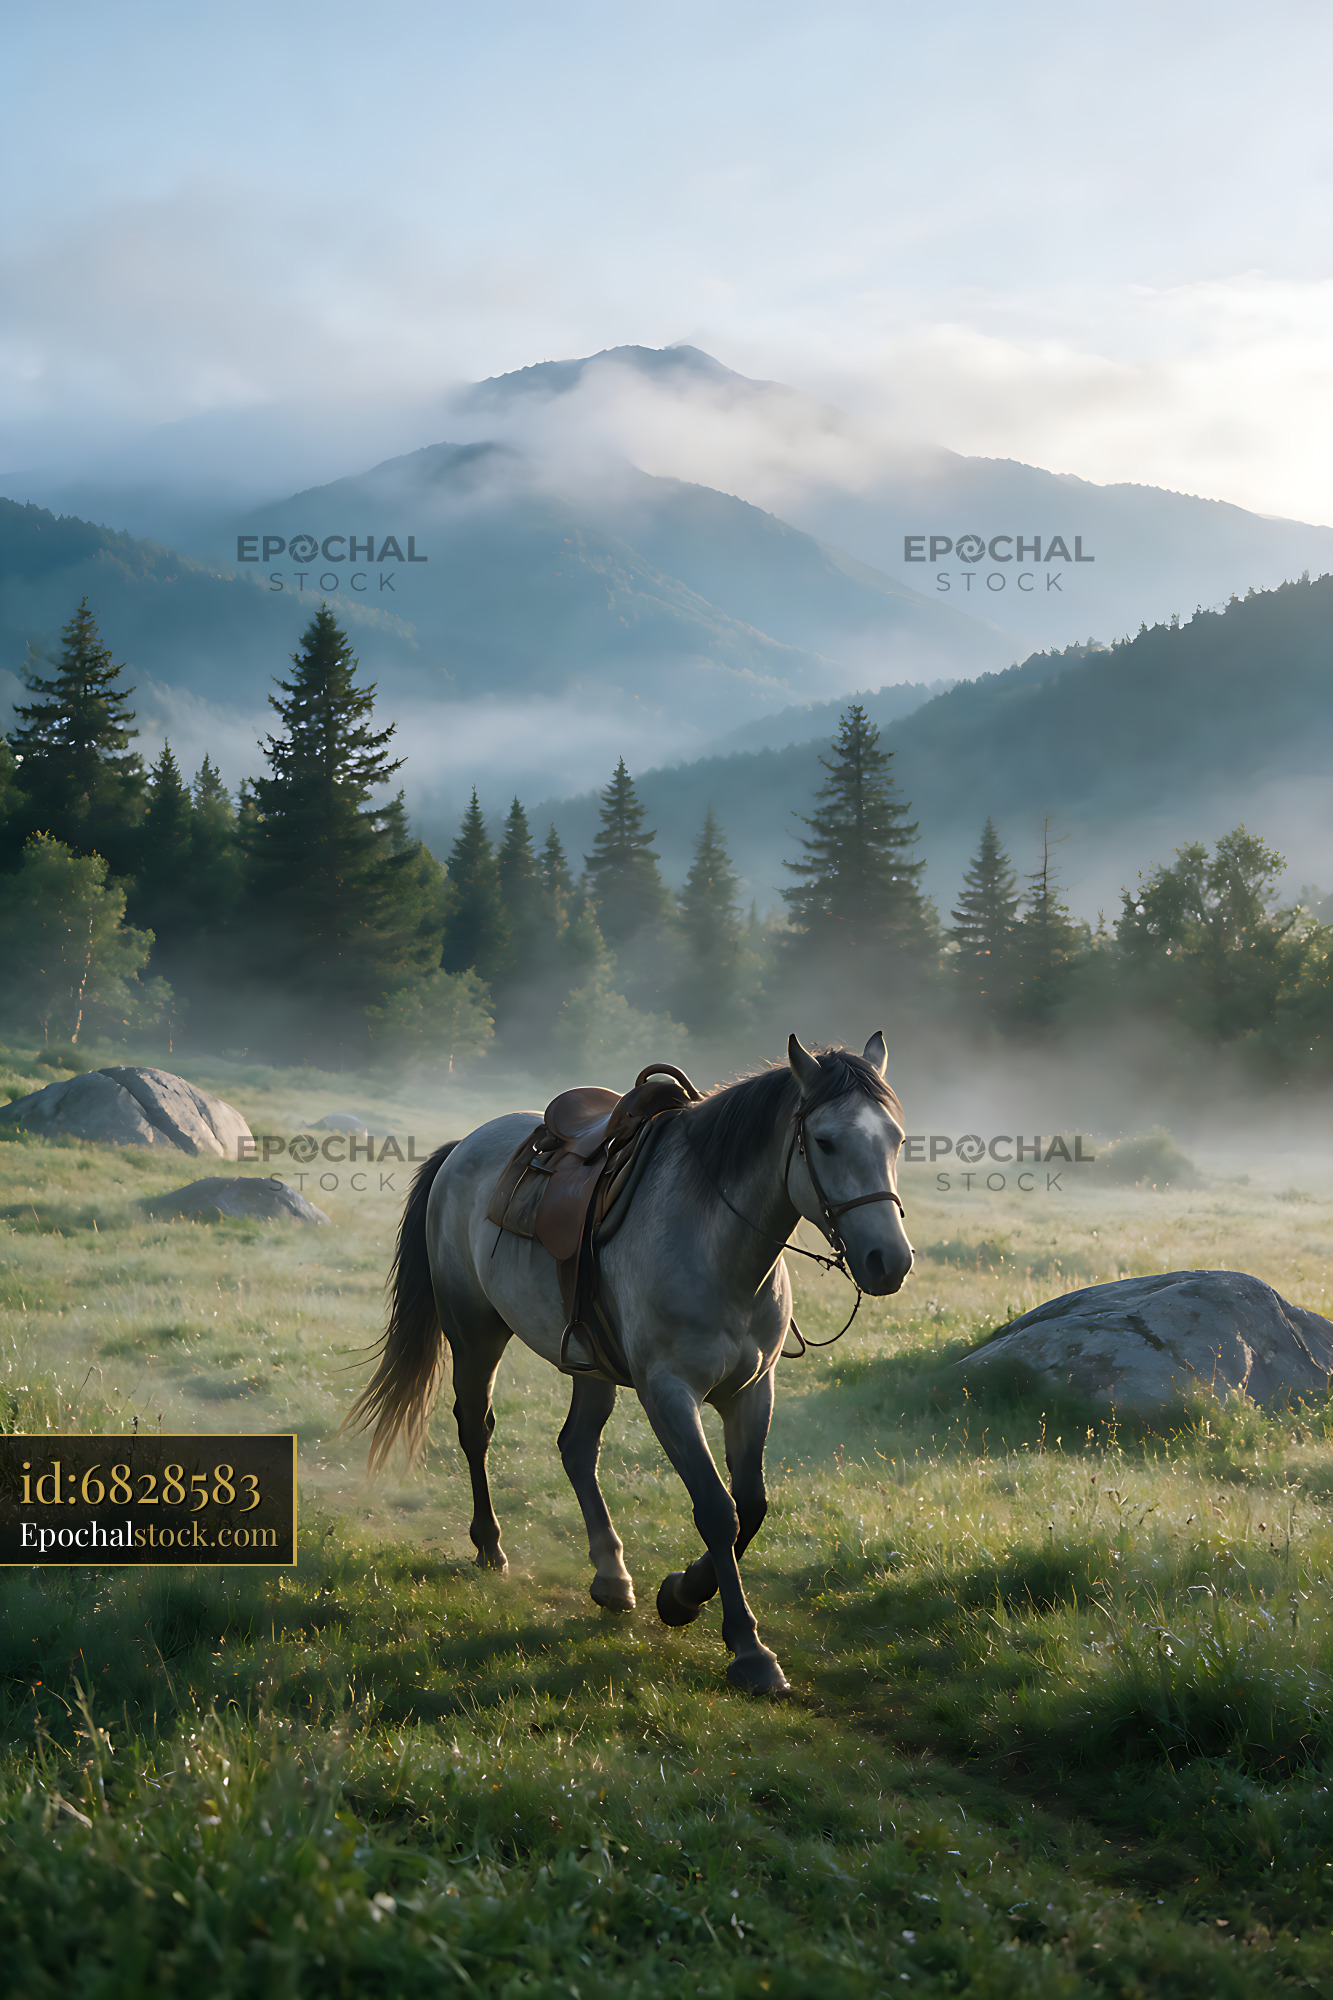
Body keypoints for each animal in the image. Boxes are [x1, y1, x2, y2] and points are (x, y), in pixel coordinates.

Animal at [347, 1033, 913, 1692]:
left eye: (896, 1140)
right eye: (824, 1140)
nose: (889, 1260)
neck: (716, 1246)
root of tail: (462, 1146)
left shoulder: (752, 1389)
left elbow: (750, 1506)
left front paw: (682, 1593)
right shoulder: (668, 1393)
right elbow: (717, 1510)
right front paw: (744, 1646)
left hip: (589, 1366)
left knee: (575, 1448)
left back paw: (611, 1576)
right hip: (475, 1332)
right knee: (475, 1429)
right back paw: (490, 1546)